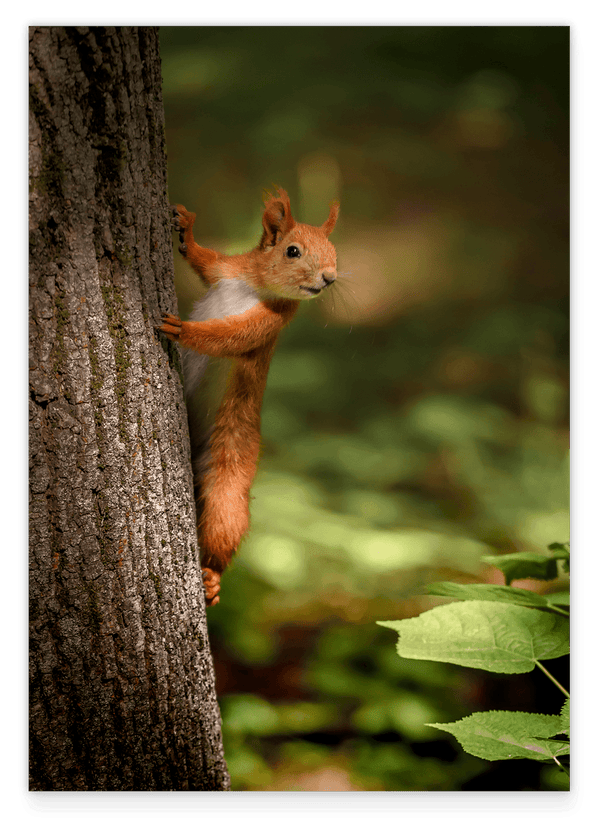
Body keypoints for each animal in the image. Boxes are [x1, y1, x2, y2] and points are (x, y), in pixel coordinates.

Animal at [159, 188, 339, 605]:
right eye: (292, 251)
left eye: (335, 252)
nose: (330, 278)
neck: (256, 286)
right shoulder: (228, 270)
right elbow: (204, 260)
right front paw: (185, 228)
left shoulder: (269, 322)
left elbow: (227, 336)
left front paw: (183, 330)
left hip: (230, 476)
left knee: (223, 525)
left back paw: (211, 577)